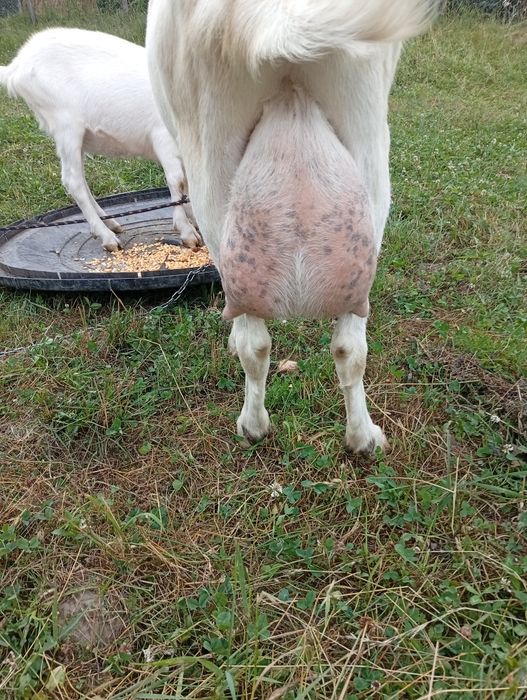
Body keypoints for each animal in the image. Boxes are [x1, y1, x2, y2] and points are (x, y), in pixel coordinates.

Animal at [0, 27, 200, 251]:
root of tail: (16, 66)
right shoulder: (162, 138)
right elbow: (177, 181)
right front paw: (187, 231)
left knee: (80, 179)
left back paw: (110, 223)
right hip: (66, 125)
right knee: (73, 181)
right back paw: (107, 236)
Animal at [146, 0, 439, 452]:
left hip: (210, 158)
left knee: (254, 342)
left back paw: (252, 425)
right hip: (370, 155)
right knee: (350, 346)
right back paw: (363, 438)